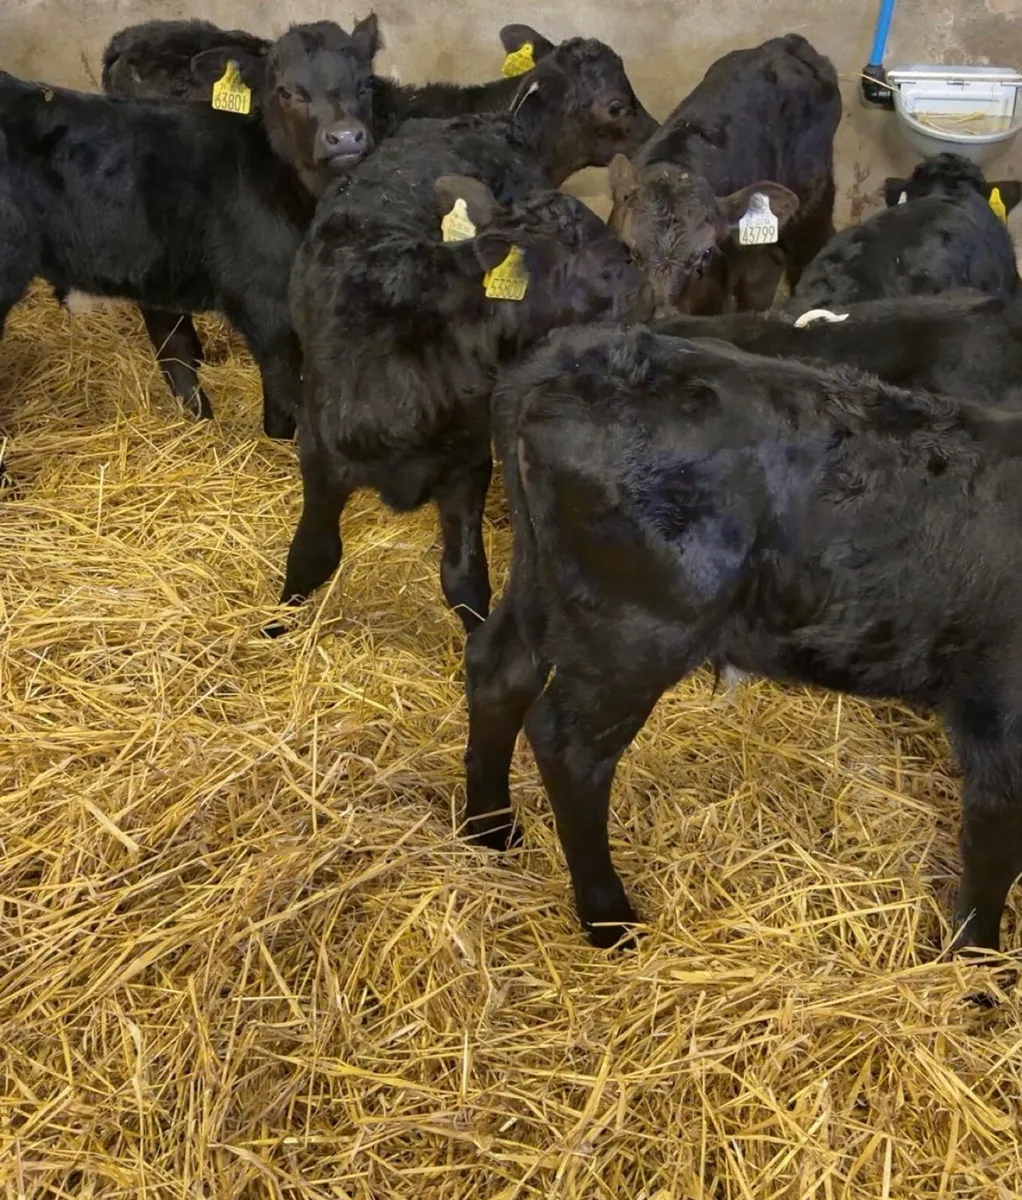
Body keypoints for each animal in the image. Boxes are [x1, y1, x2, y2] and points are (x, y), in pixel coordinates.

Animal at [268, 38, 656, 634]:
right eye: (616, 105)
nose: (644, 285)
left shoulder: (466, 462)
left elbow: (465, 579)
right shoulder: (318, 451)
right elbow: (311, 556)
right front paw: (273, 627)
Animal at [461, 322, 1022, 959]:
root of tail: (574, 359)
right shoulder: (1002, 715)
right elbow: (994, 840)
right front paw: (975, 959)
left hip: (543, 580)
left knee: (498, 669)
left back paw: (489, 830)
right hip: (637, 629)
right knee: (570, 745)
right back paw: (610, 921)